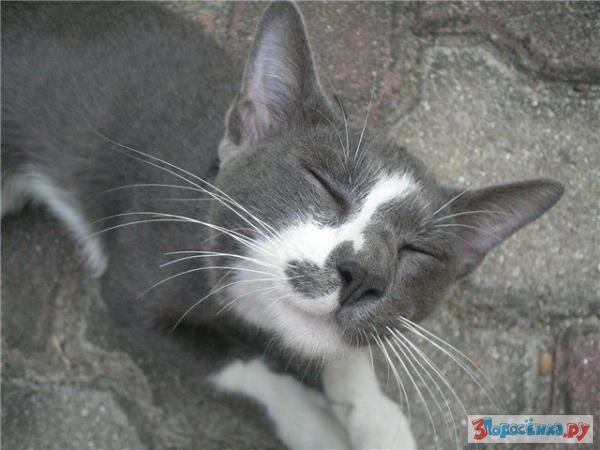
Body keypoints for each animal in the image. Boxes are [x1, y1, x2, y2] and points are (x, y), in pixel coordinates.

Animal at [1, 2, 563, 449]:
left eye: (418, 252)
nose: (364, 272)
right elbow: (237, 366)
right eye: (323, 183)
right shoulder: (134, 285)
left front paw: (377, 420)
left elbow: (346, 349)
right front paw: (315, 425)